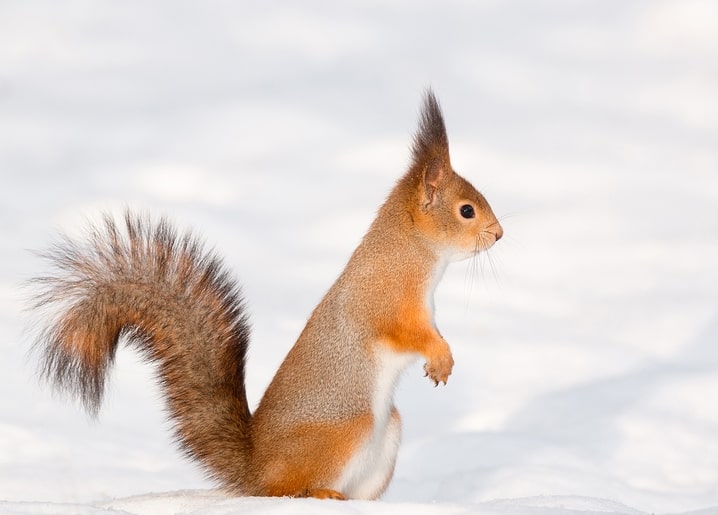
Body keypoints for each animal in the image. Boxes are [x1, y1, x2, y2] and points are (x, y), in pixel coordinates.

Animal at [29, 90, 503, 501]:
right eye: (466, 210)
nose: (499, 234)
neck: (413, 252)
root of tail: (255, 470)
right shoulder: (388, 300)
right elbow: (410, 332)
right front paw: (440, 357)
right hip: (346, 428)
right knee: (286, 489)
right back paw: (318, 492)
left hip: (386, 438)